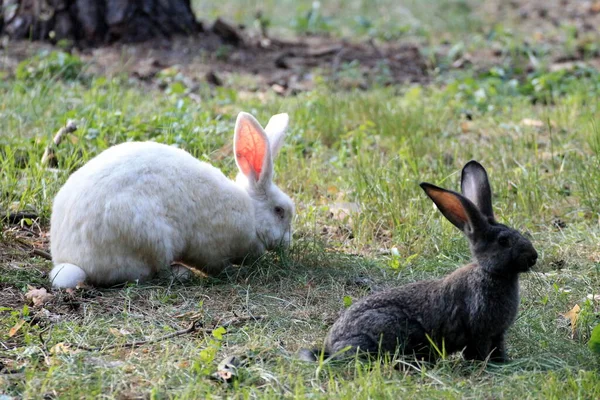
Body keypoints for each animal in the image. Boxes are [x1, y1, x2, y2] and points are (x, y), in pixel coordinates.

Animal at [49, 111, 296, 288]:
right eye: (279, 211)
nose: (287, 243)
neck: (251, 213)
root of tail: (71, 260)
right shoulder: (211, 248)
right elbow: (216, 264)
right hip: (151, 241)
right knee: (153, 272)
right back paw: (181, 274)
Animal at [302, 160, 536, 362]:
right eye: (503, 241)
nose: (533, 257)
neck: (490, 273)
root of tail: (331, 348)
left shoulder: (497, 335)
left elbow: (498, 349)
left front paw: (502, 363)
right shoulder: (479, 331)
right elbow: (478, 350)